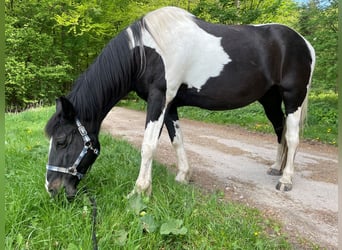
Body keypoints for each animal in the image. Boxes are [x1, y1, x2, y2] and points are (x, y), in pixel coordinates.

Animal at [44, 5, 316, 199]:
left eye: (61, 141)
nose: (51, 188)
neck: (147, 52)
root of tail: (305, 43)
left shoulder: (159, 99)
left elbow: (148, 145)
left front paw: (139, 190)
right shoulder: (170, 105)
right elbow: (177, 140)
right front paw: (183, 176)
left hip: (293, 97)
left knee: (292, 137)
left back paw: (285, 180)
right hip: (269, 99)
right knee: (280, 130)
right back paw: (276, 167)